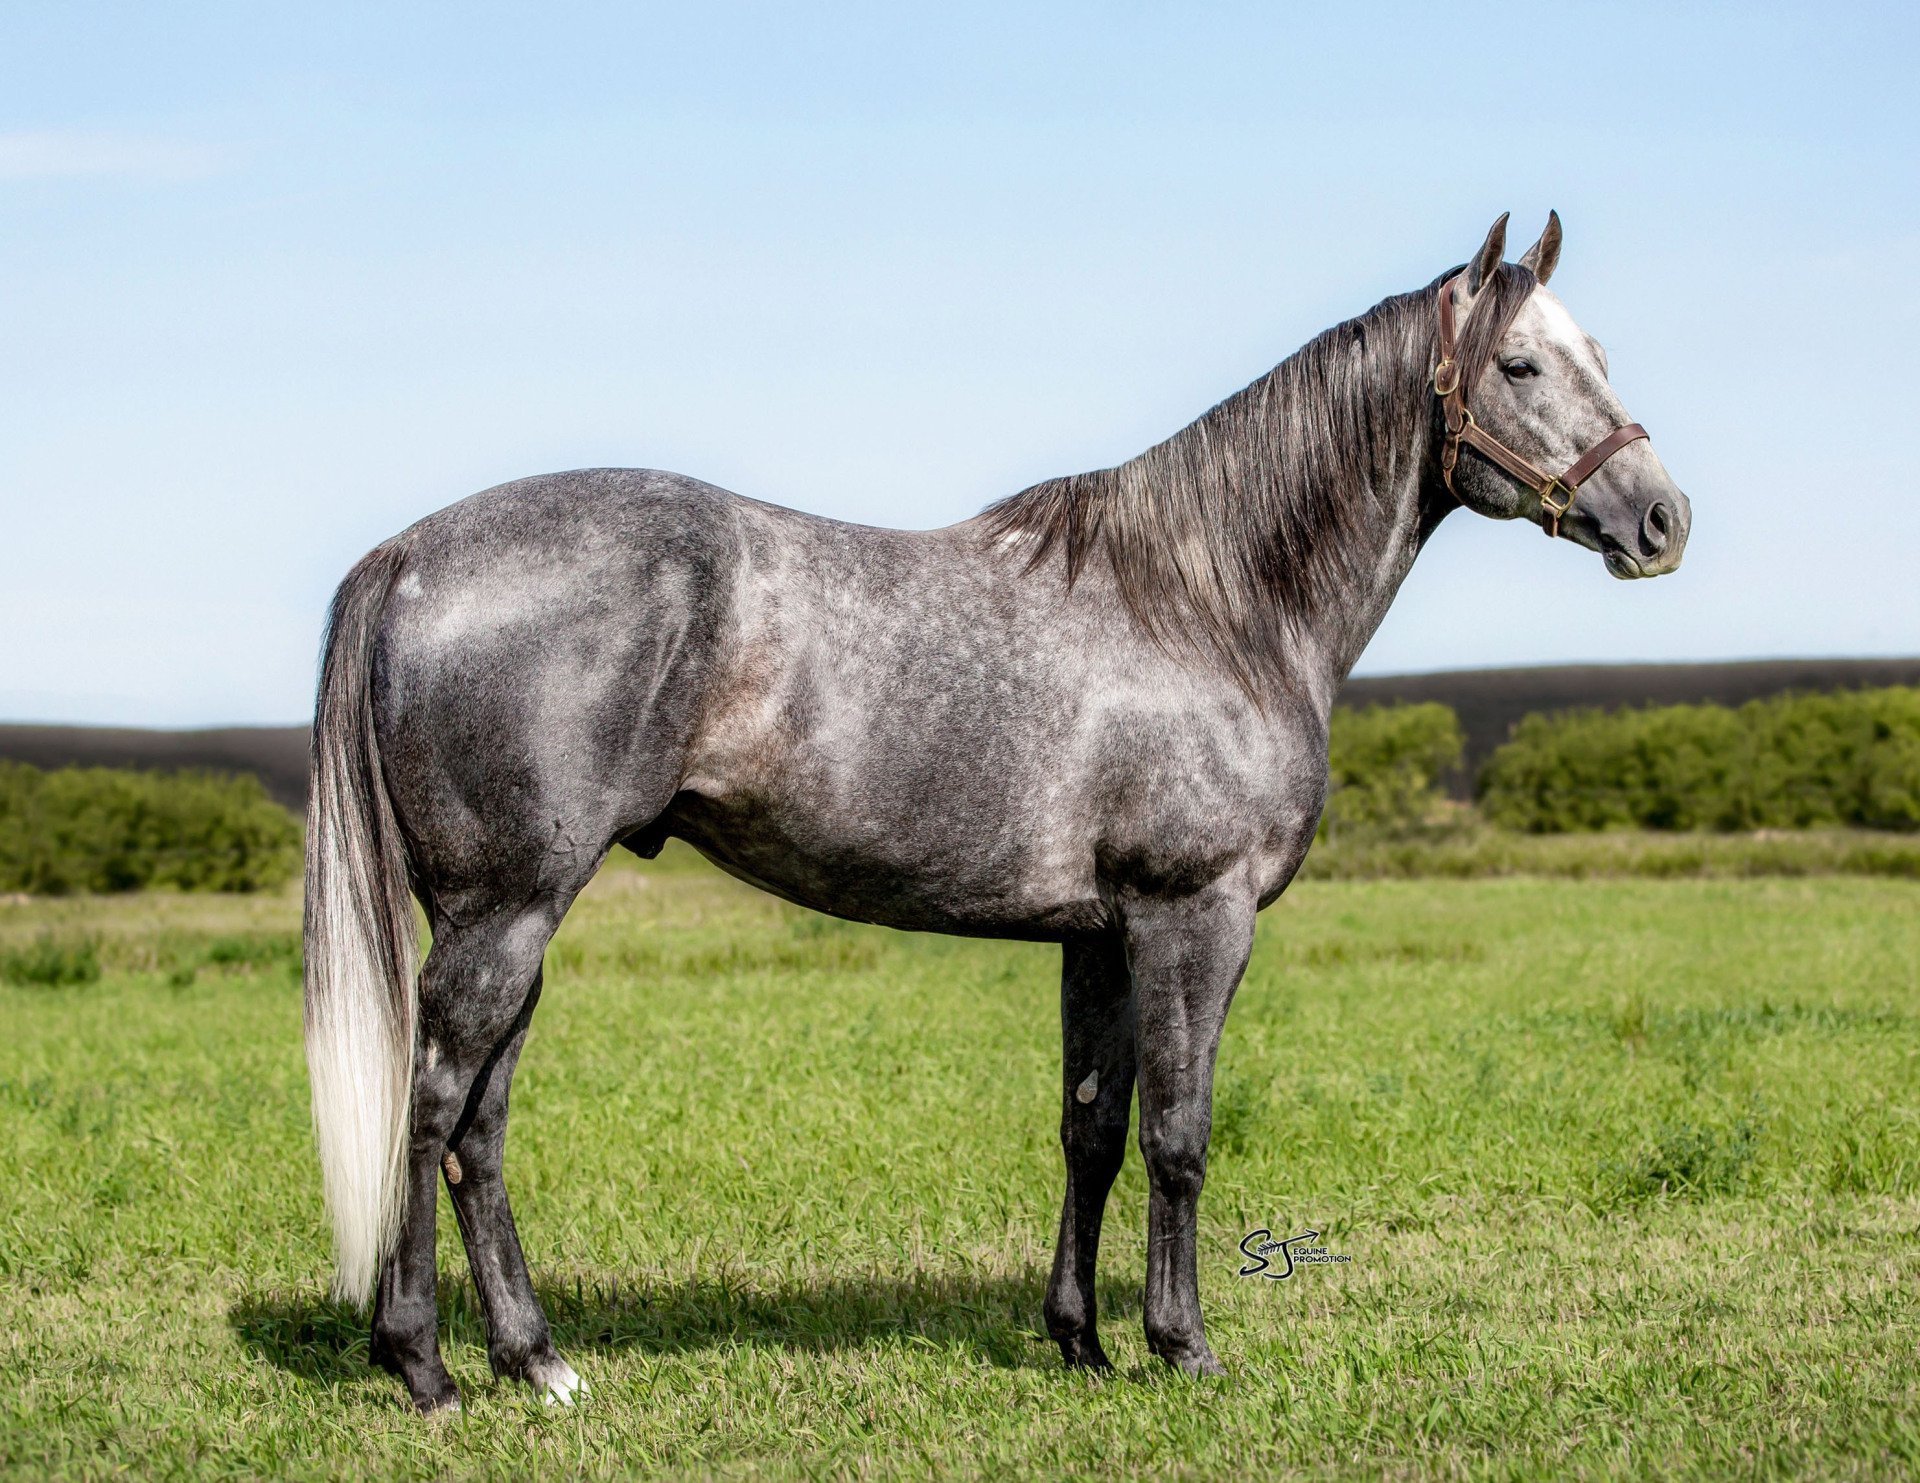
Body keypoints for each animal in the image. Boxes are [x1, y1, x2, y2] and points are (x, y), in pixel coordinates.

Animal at [303, 212, 1691, 1412]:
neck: (1213, 602)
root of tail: (408, 555)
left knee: (480, 1127)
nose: (1661, 518)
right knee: (432, 1104)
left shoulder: (1102, 936)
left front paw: (1080, 1340)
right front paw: (1182, 1345)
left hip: (518, 922)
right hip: (505, 914)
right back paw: (421, 1363)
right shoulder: (1196, 917)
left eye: (1600, 353)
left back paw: (536, 1361)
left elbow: (1093, 1130)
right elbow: (1180, 1132)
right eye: (1519, 362)